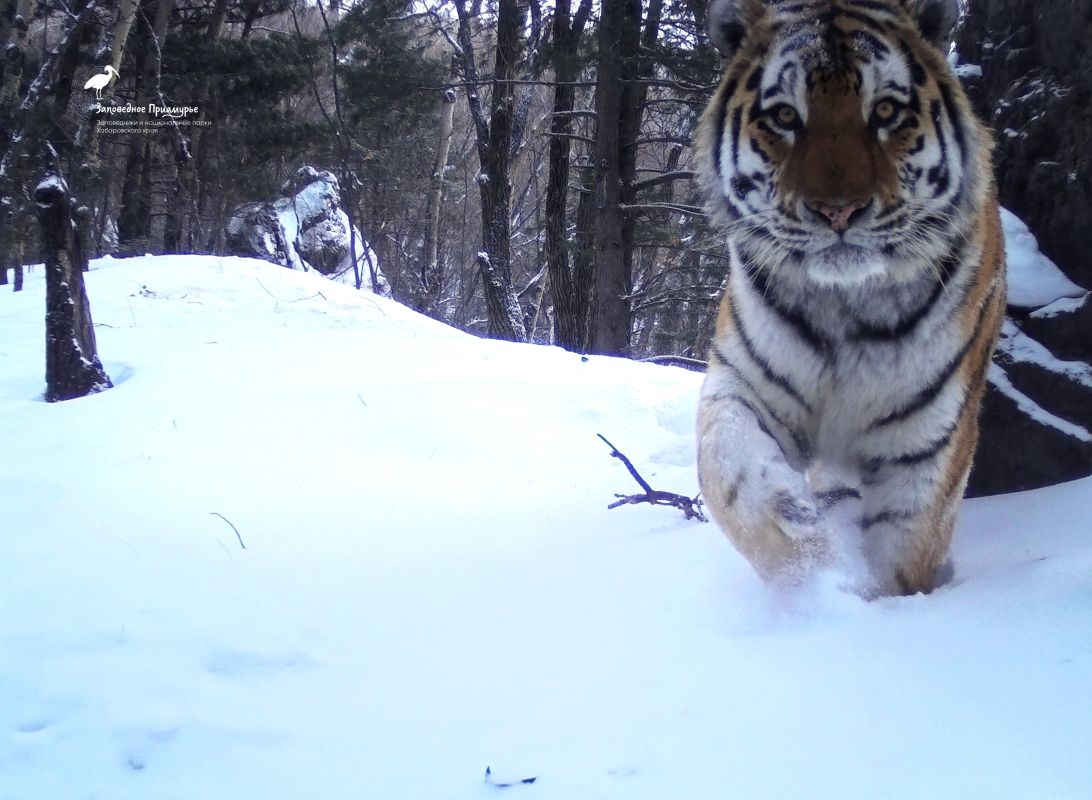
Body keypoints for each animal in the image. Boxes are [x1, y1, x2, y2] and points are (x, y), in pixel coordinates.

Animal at [694, 0, 1000, 593]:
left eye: (885, 110)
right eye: (785, 117)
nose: (839, 210)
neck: (845, 306)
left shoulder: (926, 441)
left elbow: (904, 549)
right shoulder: (744, 379)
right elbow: (728, 466)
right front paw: (805, 553)